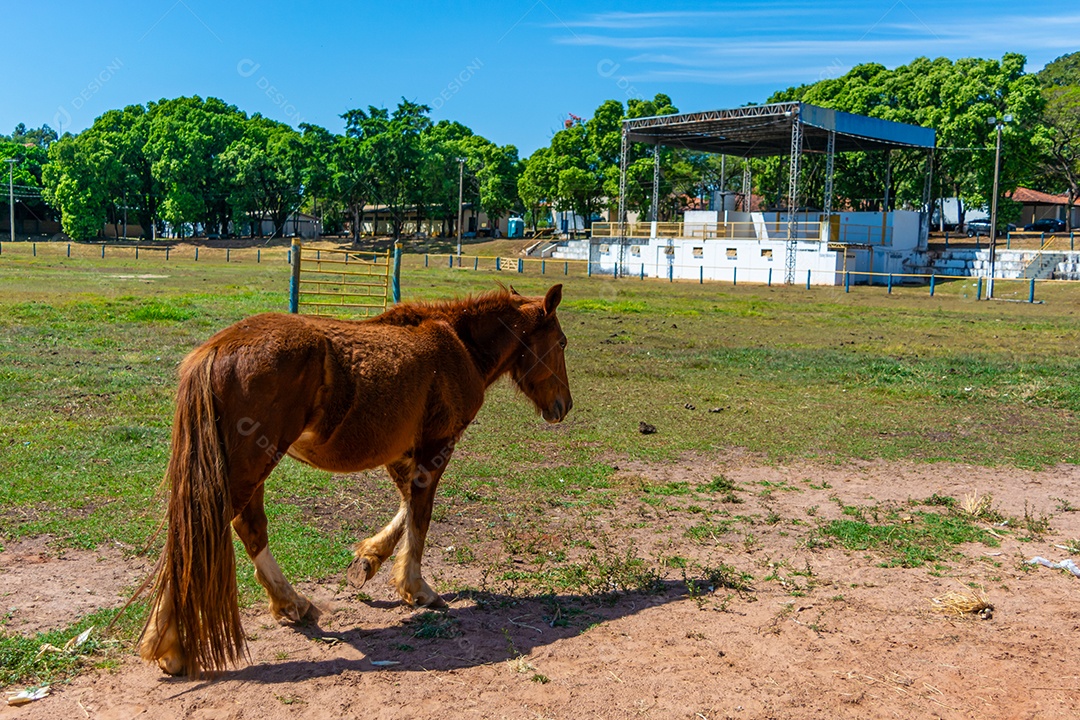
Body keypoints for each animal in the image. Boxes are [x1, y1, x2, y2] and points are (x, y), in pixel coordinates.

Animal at [138, 284, 574, 677]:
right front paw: (416, 587)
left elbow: (405, 508)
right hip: (249, 465)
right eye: (562, 342)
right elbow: (420, 516)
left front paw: (370, 559)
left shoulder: (400, 453)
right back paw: (168, 644)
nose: (564, 406)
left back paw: (289, 603)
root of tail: (216, 348)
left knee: (248, 528)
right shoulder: (436, 445)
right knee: (201, 535)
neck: (458, 345)